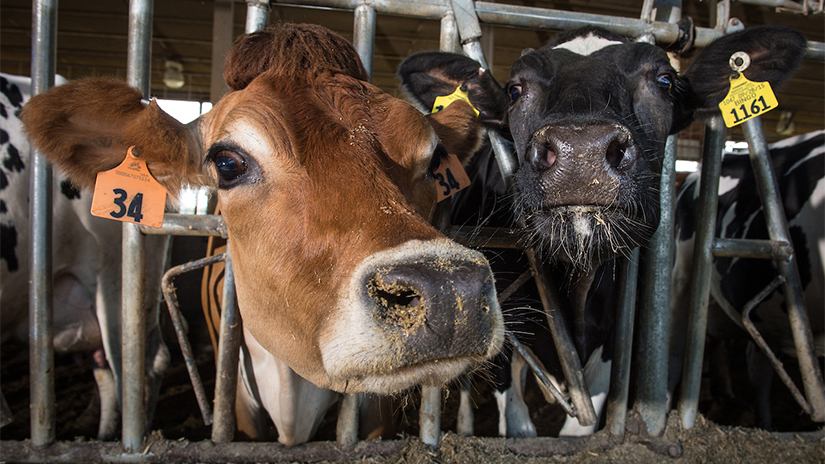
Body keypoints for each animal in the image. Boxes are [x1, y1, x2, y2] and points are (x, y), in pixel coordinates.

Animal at [400, 25, 804, 436]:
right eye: (515, 89)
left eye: (664, 81)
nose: (582, 152)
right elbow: (519, 426)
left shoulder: (611, 342)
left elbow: (579, 429)